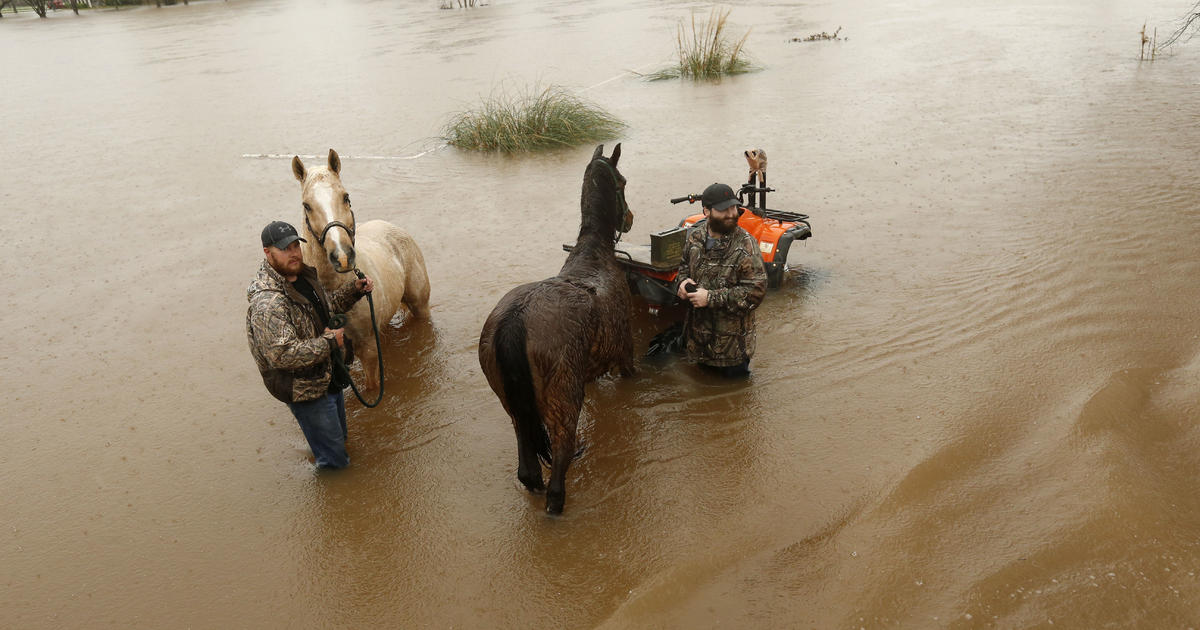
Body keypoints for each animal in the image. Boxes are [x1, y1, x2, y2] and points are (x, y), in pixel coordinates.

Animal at [292, 150, 434, 391]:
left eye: (345, 197)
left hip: (420, 306)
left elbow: (372, 388)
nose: (342, 257)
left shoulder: (367, 349)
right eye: (306, 205)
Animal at [477, 143, 638, 516]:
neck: (594, 254)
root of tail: (515, 320)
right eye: (622, 182)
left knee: (527, 462)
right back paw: (556, 502)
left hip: (513, 405)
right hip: (563, 399)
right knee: (560, 454)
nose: (629, 218)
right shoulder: (625, 356)